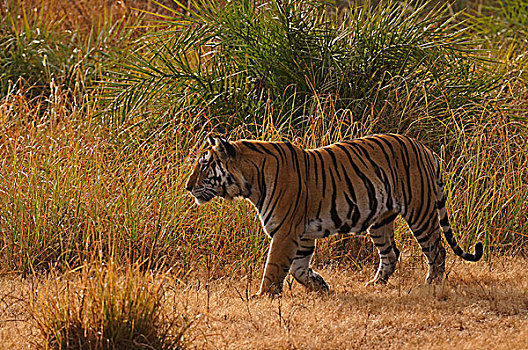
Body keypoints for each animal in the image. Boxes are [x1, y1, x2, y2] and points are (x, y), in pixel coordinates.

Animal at [186, 134, 482, 296]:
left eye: (205, 166)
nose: (188, 187)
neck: (250, 181)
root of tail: (425, 148)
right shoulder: (302, 235)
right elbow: (297, 269)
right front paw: (320, 285)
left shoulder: (285, 231)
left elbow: (274, 267)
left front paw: (262, 295)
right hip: (380, 221)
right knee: (392, 253)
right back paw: (375, 283)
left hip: (419, 212)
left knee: (436, 250)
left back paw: (431, 284)